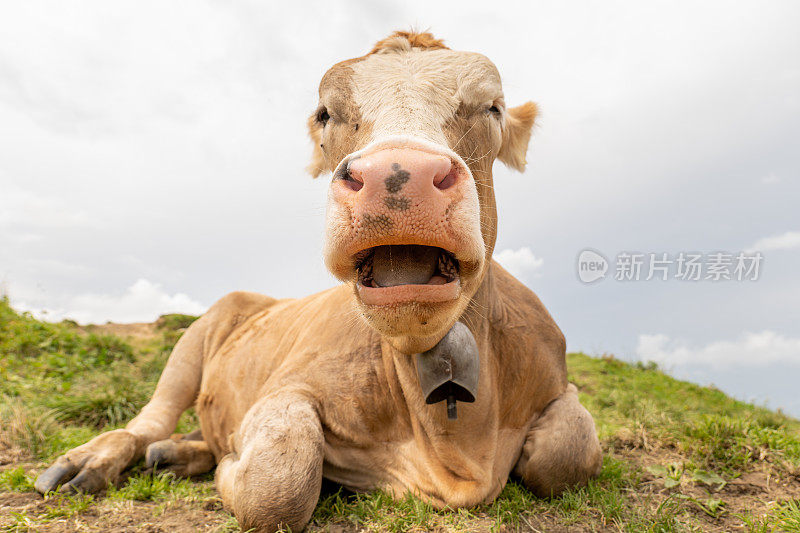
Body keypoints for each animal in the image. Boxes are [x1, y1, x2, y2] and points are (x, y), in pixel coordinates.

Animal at [36, 31, 600, 528]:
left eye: (493, 107)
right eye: (326, 113)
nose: (399, 174)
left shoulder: (558, 379)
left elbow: (569, 450)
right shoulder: (286, 387)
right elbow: (279, 482)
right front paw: (230, 466)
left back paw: (178, 454)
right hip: (199, 333)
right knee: (151, 417)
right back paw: (96, 461)